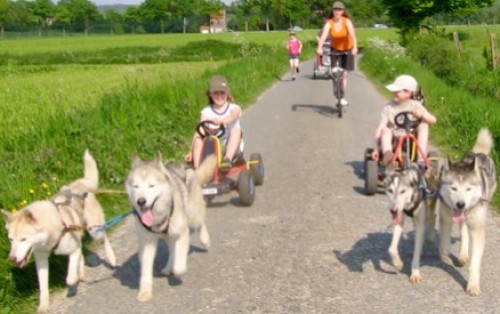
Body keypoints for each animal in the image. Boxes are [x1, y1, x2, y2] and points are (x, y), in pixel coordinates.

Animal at [1, 151, 116, 312]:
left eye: (24, 239)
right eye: (11, 240)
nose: (12, 258)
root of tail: (80, 183)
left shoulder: (73, 250)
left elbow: (70, 278)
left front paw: (73, 282)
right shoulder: (41, 260)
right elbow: (43, 287)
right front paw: (43, 306)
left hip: (95, 230)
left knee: (104, 239)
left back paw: (111, 258)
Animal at [125, 153, 217, 302]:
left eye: (151, 185)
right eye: (136, 186)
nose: (141, 201)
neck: (158, 215)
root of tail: (187, 167)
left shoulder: (182, 232)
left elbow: (179, 264)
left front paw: (178, 272)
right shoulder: (147, 242)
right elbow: (146, 269)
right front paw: (145, 291)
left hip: (192, 216)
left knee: (200, 222)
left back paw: (205, 240)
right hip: (168, 235)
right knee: (172, 249)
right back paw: (168, 267)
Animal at [438, 127, 496, 296]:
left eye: (468, 189)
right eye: (453, 188)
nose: (460, 204)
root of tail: (479, 153)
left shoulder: (477, 230)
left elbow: (475, 263)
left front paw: (473, 285)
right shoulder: (445, 217)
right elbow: (444, 248)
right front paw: (448, 254)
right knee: (463, 229)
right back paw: (463, 254)